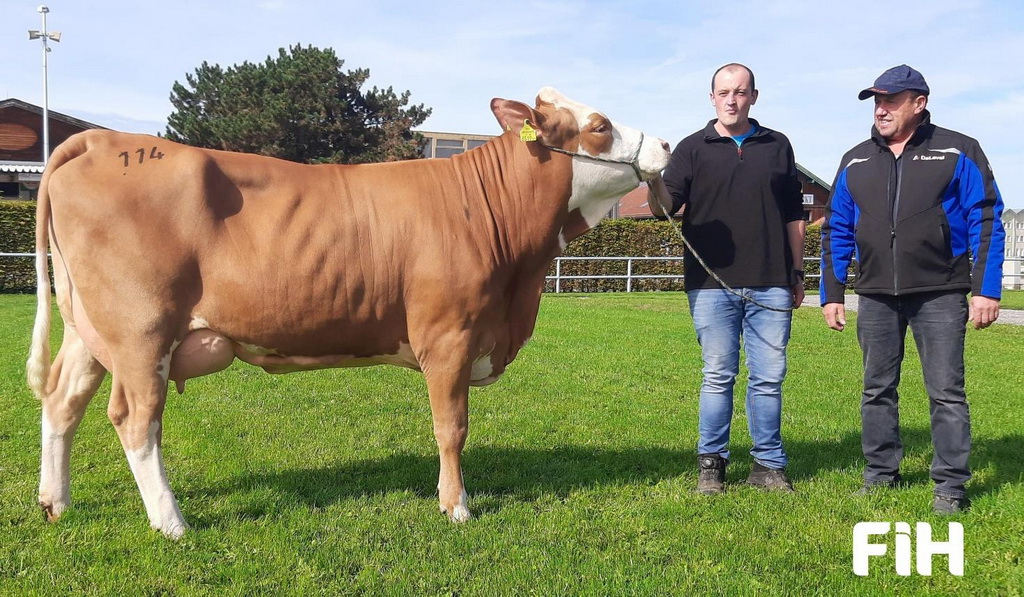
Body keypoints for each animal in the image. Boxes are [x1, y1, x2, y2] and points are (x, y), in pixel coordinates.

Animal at [25, 86, 671, 540]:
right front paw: (456, 506)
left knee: (63, 400)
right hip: (141, 330)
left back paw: (57, 502)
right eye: (599, 126)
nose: (666, 146)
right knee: (135, 420)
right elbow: (452, 427)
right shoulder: (449, 336)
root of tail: (101, 140)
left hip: (90, 329)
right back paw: (171, 522)